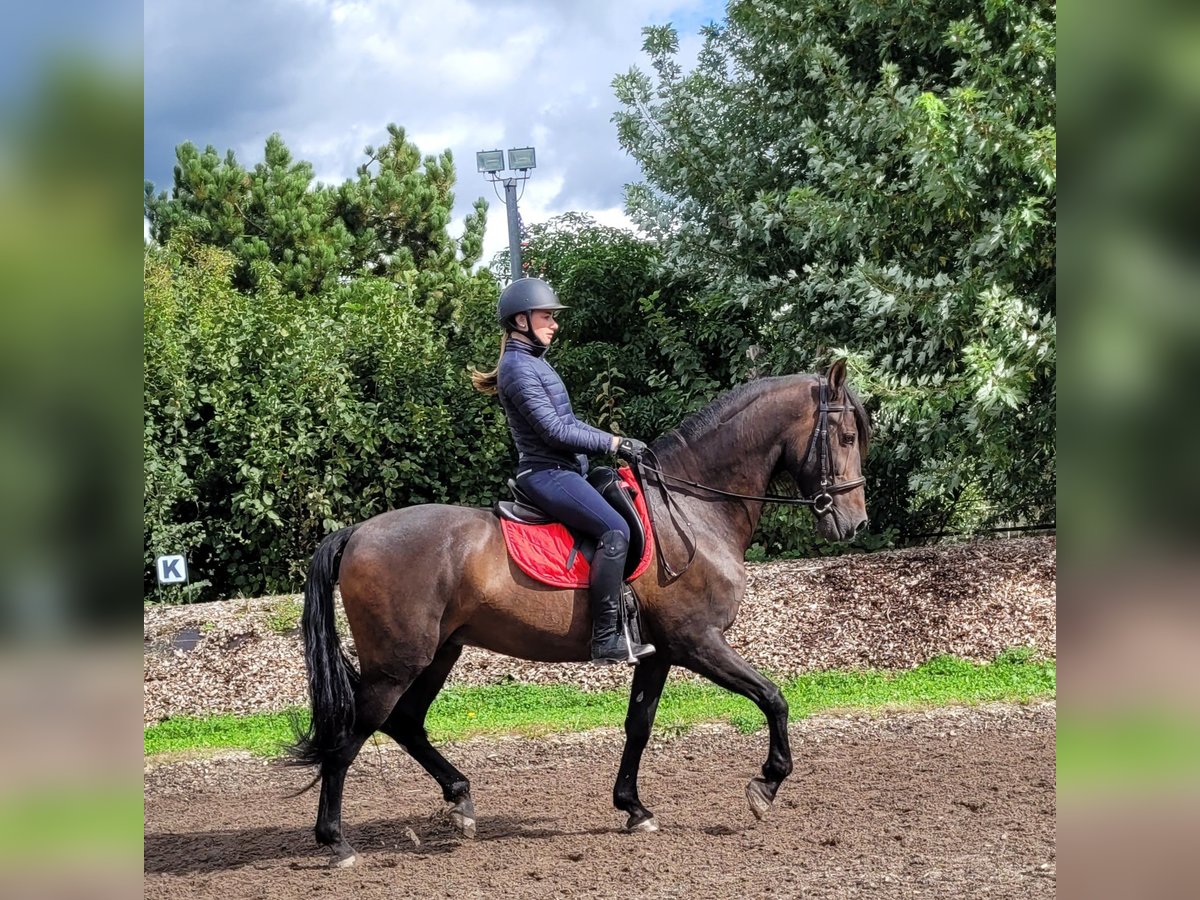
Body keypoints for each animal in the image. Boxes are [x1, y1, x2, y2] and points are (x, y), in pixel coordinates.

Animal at [290, 357, 873, 868]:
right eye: (846, 438)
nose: (854, 523)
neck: (691, 511)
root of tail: (356, 533)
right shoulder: (698, 641)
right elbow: (773, 698)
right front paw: (766, 785)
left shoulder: (659, 653)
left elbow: (639, 724)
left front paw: (633, 808)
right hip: (398, 663)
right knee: (351, 738)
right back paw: (336, 841)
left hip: (438, 653)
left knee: (406, 723)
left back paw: (459, 801)